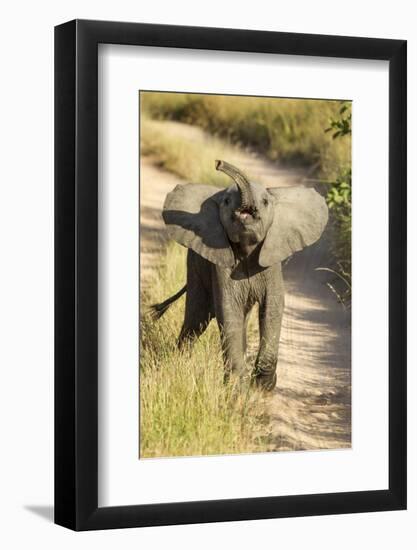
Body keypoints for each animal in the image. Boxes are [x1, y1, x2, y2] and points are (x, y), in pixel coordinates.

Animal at [151, 160, 326, 392]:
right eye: (226, 201)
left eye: (265, 202)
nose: (219, 163)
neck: (246, 247)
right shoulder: (221, 264)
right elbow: (229, 309)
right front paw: (237, 388)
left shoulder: (270, 261)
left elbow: (272, 307)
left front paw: (262, 386)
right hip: (195, 265)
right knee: (196, 319)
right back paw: (179, 364)